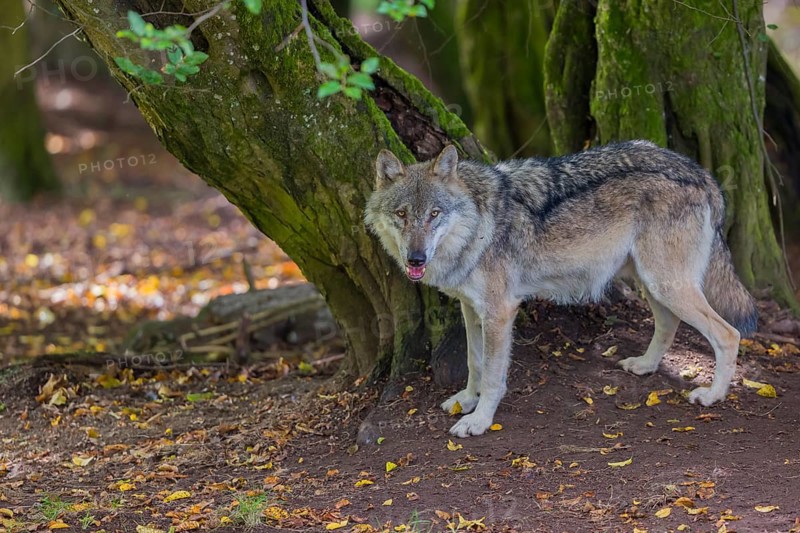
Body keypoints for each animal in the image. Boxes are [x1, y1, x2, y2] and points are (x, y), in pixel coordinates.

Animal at [364, 141, 758, 438]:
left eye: (434, 214)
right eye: (402, 215)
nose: (416, 258)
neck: (476, 224)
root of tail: (699, 172)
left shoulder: (499, 312)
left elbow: (492, 374)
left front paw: (479, 420)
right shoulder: (471, 308)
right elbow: (474, 363)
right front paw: (466, 400)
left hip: (668, 285)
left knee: (728, 334)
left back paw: (712, 396)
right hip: (653, 283)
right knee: (668, 323)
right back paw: (645, 366)